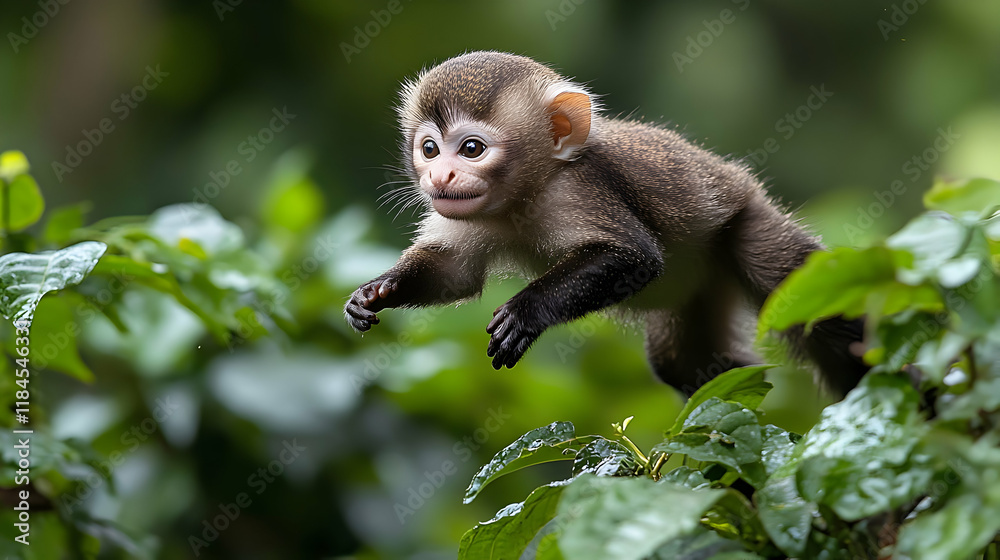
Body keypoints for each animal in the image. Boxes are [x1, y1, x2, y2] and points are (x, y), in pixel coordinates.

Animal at [344, 51, 867, 397]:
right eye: (430, 149)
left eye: (471, 148)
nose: (440, 176)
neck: (520, 200)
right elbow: (455, 274)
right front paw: (377, 291)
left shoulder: (576, 190)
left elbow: (634, 257)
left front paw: (526, 312)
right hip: (700, 288)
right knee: (680, 363)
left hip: (745, 224)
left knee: (815, 308)